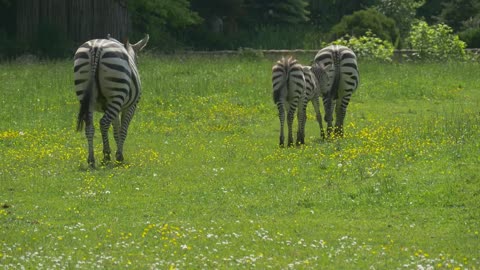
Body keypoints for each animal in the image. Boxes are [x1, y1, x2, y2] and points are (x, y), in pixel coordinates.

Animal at [72, 33, 148, 167]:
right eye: (137, 61)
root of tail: (96, 47)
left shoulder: (113, 108)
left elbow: (116, 130)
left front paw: (118, 153)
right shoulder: (130, 106)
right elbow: (123, 130)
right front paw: (119, 156)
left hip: (85, 94)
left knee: (90, 126)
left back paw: (91, 159)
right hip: (117, 92)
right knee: (103, 123)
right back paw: (106, 156)